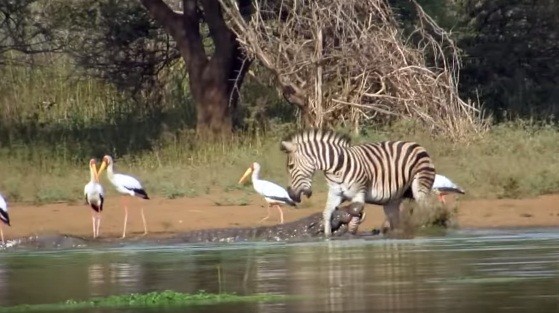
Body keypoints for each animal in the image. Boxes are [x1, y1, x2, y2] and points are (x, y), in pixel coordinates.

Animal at [280, 128, 438, 235]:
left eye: (291, 166)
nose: (292, 195)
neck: (336, 168)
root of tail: (415, 144)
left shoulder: (359, 193)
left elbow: (355, 210)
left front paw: (351, 230)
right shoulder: (335, 193)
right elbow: (327, 213)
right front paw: (328, 235)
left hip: (420, 186)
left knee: (425, 208)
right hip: (393, 199)